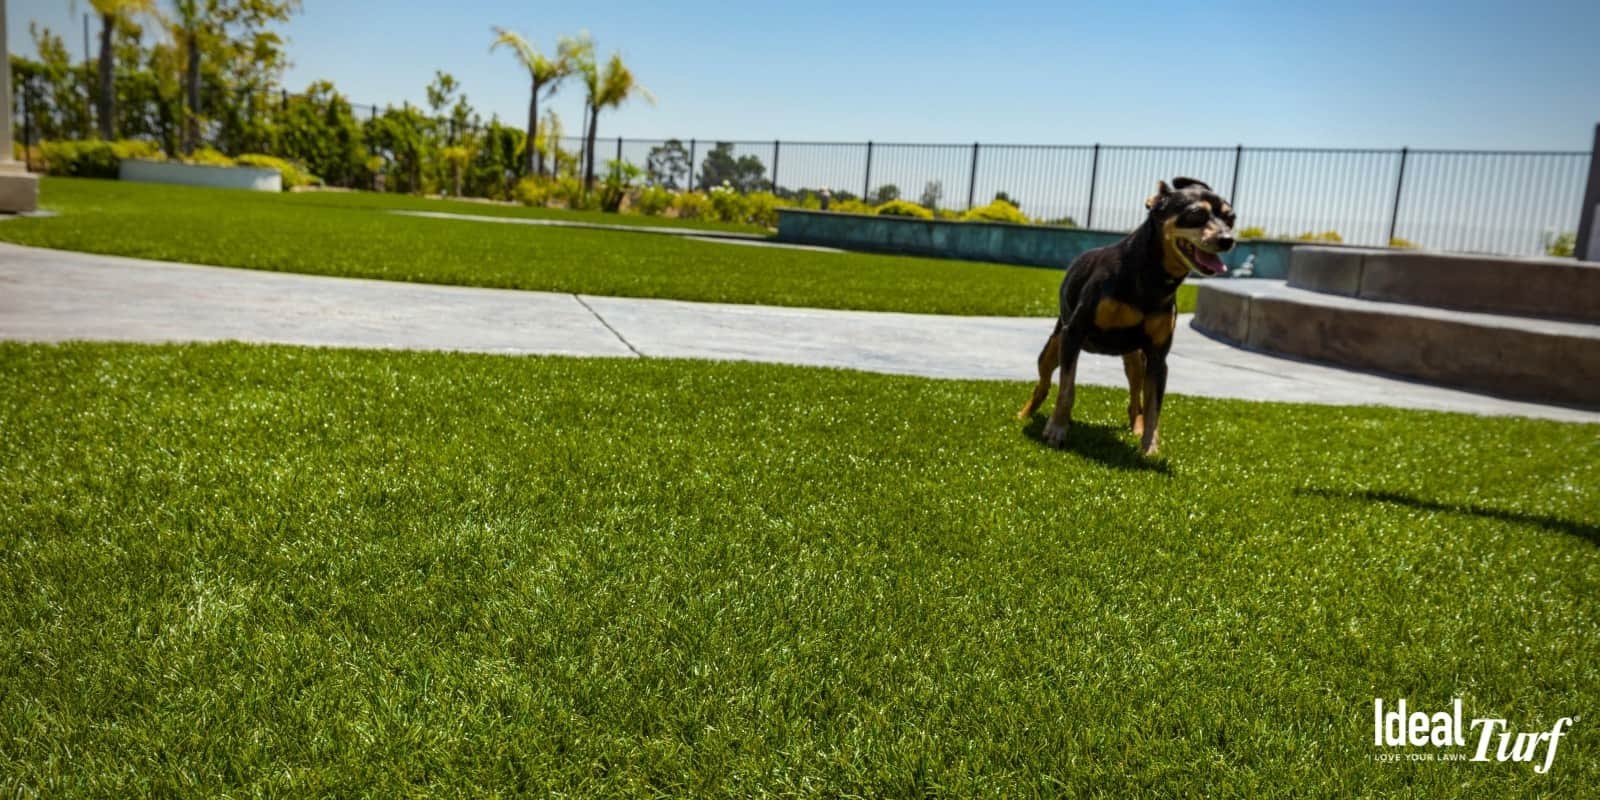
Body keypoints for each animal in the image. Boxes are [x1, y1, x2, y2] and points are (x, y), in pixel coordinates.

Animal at [1017, 180, 1228, 457]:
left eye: (1231, 218)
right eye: (1196, 214)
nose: (1228, 239)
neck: (1151, 279)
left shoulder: (1158, 357)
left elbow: (1153, 406)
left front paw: (1150, 445)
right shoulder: (1073, 334)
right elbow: (1067, 389)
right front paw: (1057, 430)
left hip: (1135, 358)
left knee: (1136, 395)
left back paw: (1136, 425)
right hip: (1055, 345)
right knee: (1043, 383)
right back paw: (1025, 414)